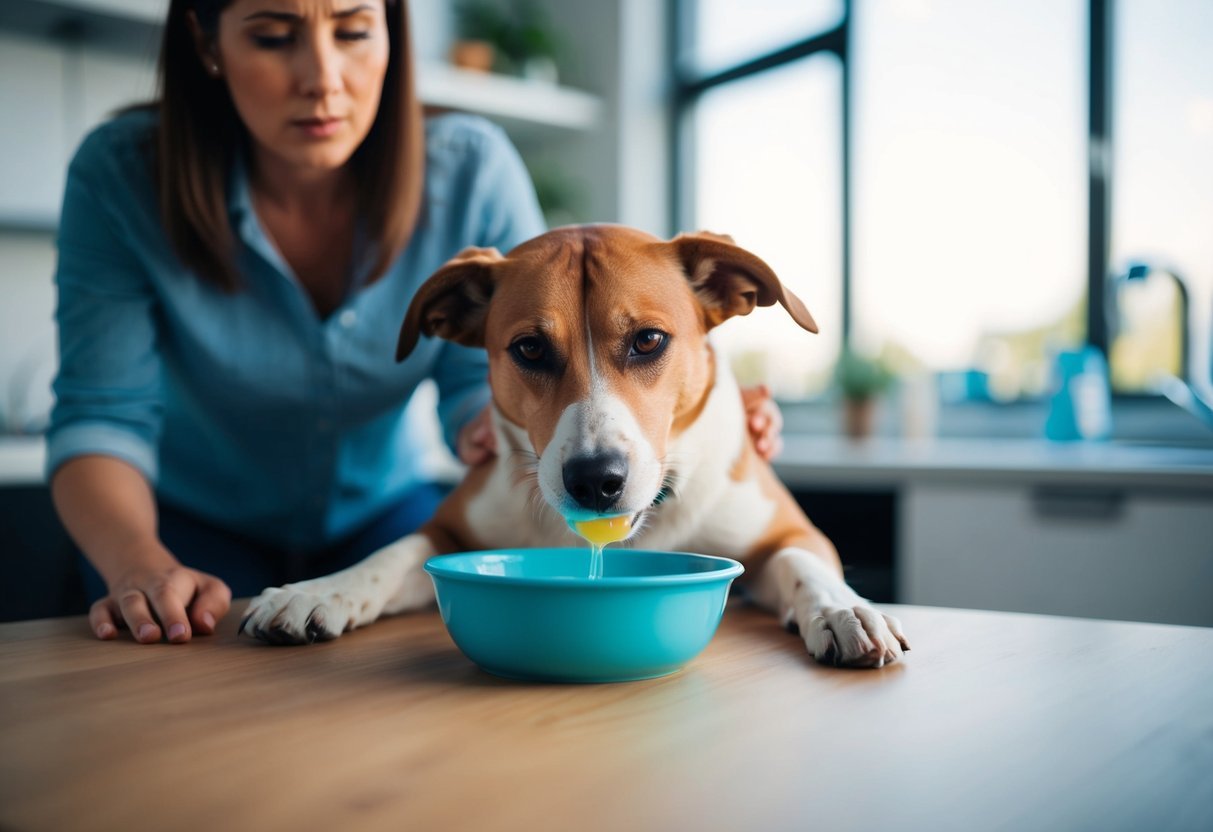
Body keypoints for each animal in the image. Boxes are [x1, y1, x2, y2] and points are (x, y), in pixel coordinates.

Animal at [241, 226, 912, 669]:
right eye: (530, 349)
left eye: (649, 340)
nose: (596, 479)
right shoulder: (448, 530)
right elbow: (390, 554)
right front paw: (315, 590)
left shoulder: (790, 532)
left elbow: (805, 564)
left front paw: (844, 609)